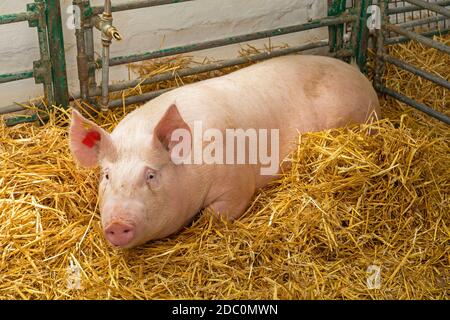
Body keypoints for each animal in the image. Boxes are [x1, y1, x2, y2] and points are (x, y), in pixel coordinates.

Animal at [70, 54, 380, 248]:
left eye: (151, 175)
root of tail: (360, 76)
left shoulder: (237, 184)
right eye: (106, 176)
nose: (116, 224)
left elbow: (215, 215)